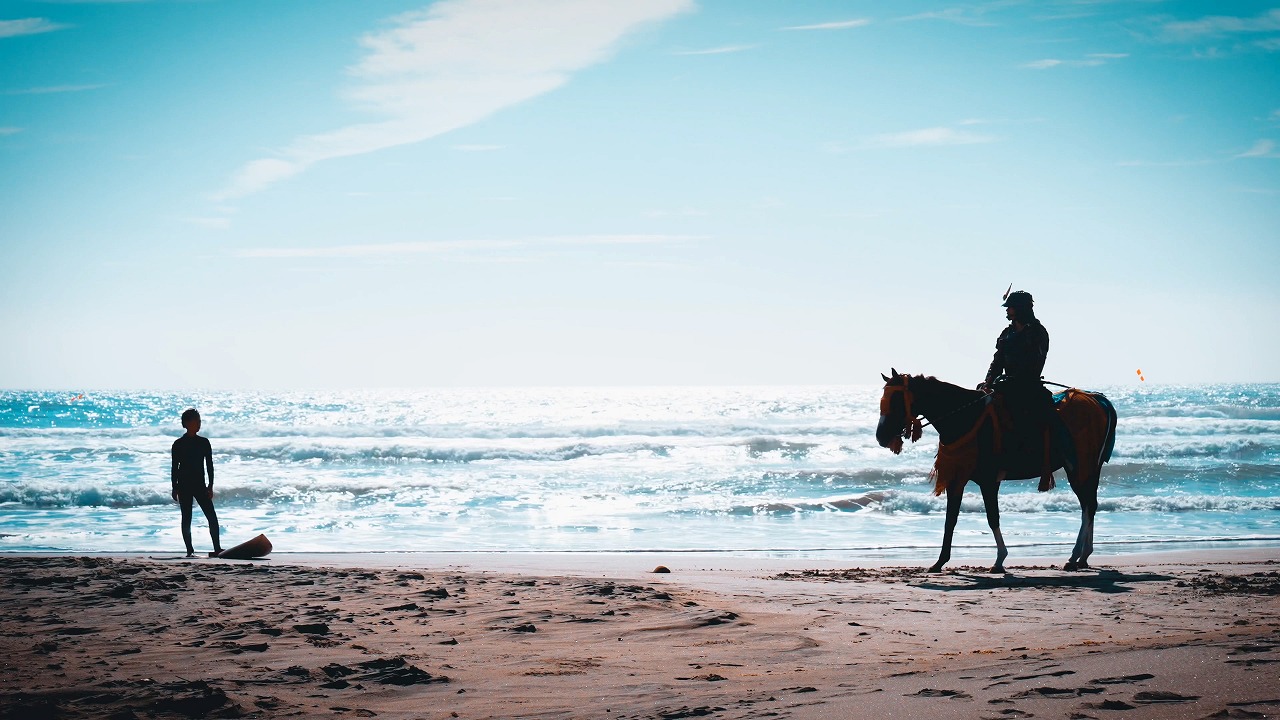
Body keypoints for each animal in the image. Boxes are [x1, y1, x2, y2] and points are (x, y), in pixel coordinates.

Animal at [875, 366, 1116, 568]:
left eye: (896, 401)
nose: (881, 436)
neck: (966, 417)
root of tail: (1098, 400)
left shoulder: (988, 480)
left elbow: (992, 517)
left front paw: (1000, 559)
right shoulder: (957, 477)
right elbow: (950, 519)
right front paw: (940, 562)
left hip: (1079, 466)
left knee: (1087, 505)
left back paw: (1075, 556)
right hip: (1088, 467)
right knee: (1090, 505)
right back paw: (1083, 556)